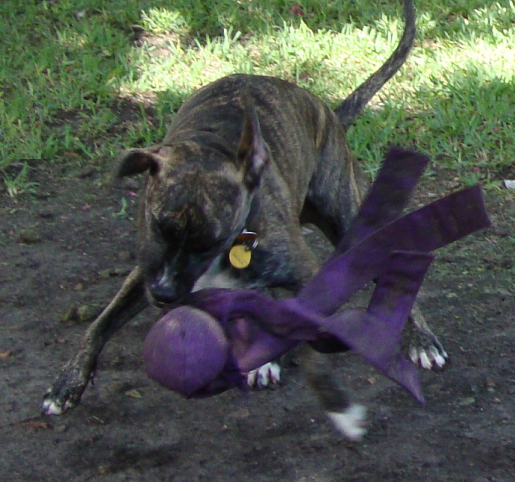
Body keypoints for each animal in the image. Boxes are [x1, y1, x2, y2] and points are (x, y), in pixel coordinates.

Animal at [44, 0, 448, 436]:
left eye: (211, 242)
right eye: (157, 227)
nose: (165, 297)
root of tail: (327, 111)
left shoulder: (299, 275)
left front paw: (337, 405)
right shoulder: (146, 270)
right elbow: (100, 324)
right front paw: (67, 383)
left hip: (348, 218)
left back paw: (421, 340)